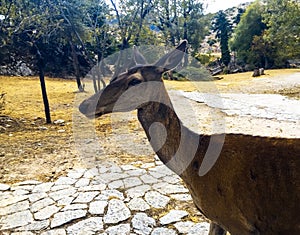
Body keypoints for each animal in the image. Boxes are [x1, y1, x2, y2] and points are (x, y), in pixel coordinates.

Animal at [79, 40, 300, 235]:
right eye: (115, 76)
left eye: (134, 81)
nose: (84, 105)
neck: (193, 167)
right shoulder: (216, 218)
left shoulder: (238, 221)